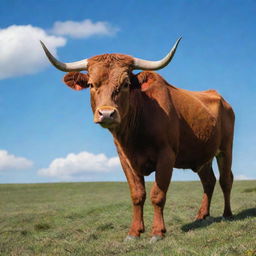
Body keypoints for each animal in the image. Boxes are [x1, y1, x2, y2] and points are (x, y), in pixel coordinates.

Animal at [41, 38, 235, 242]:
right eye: (92, 84)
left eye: (126, 83)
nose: (107, 113)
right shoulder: (125, 159)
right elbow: (137, 195)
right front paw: (134, 232)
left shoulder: (166, 155)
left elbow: (157, 194)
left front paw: (157, 232)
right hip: (202, 156)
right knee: (209, 181)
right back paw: (201, 216)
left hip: (226, 149)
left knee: (225, 179)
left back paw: (227, 214)